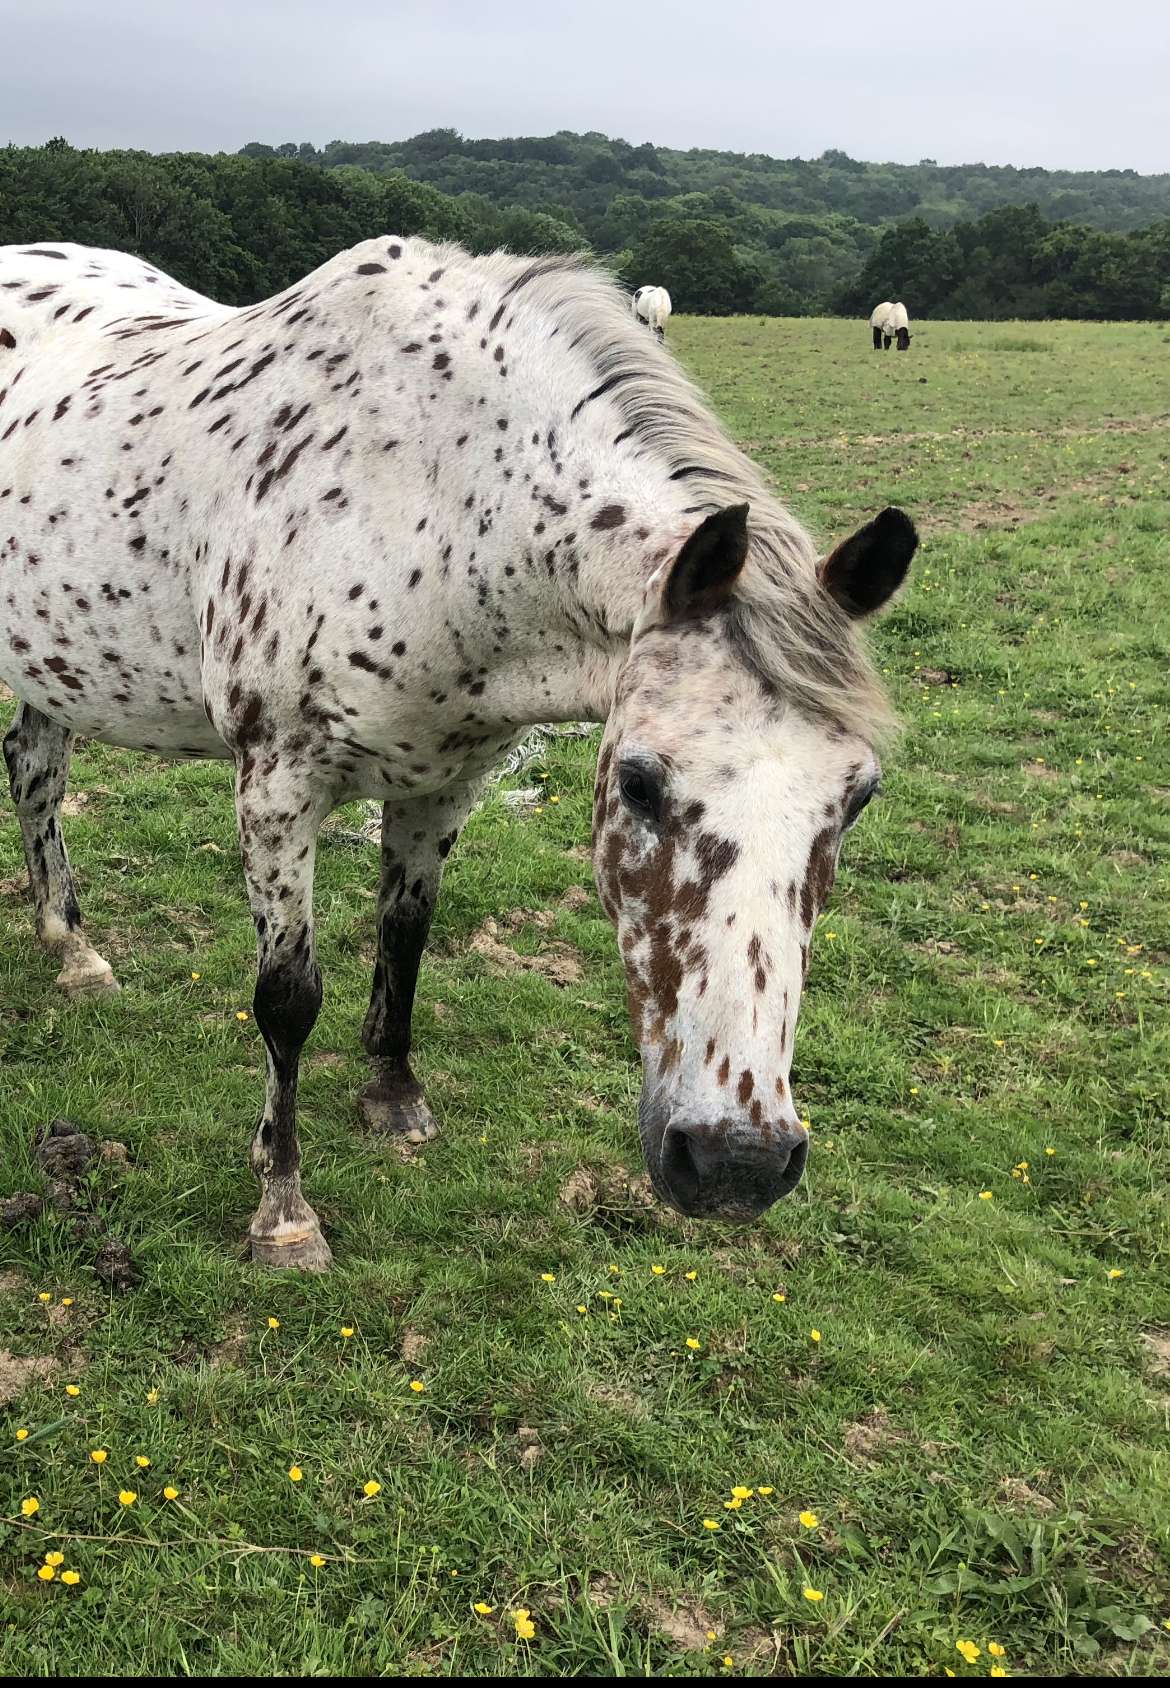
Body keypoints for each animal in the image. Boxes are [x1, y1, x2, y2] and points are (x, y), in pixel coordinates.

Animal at [1, 237, 917, 1271]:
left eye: (858, 797)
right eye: (638, 782)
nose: (736, 1165)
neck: (432, 505)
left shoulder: (445, 781)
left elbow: (406, 936)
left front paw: (394, 1098)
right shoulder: (277, 785)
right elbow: (287, 998)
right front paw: (283, 1210)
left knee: (34, 771)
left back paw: (72, 948)